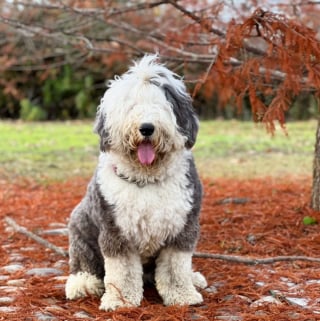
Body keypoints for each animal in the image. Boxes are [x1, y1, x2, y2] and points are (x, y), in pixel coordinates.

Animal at [64, 55, 208, 310]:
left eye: (161, 105)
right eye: (131, 106)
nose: (147, 127)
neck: (146, 178)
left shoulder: (182, 228)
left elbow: (175, 268)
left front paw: (182, 295)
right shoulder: (116, 231)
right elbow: (122, 272)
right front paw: (120, 301)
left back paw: (194, 278)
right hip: (81, 229)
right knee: (85, 263)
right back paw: (82, 284)